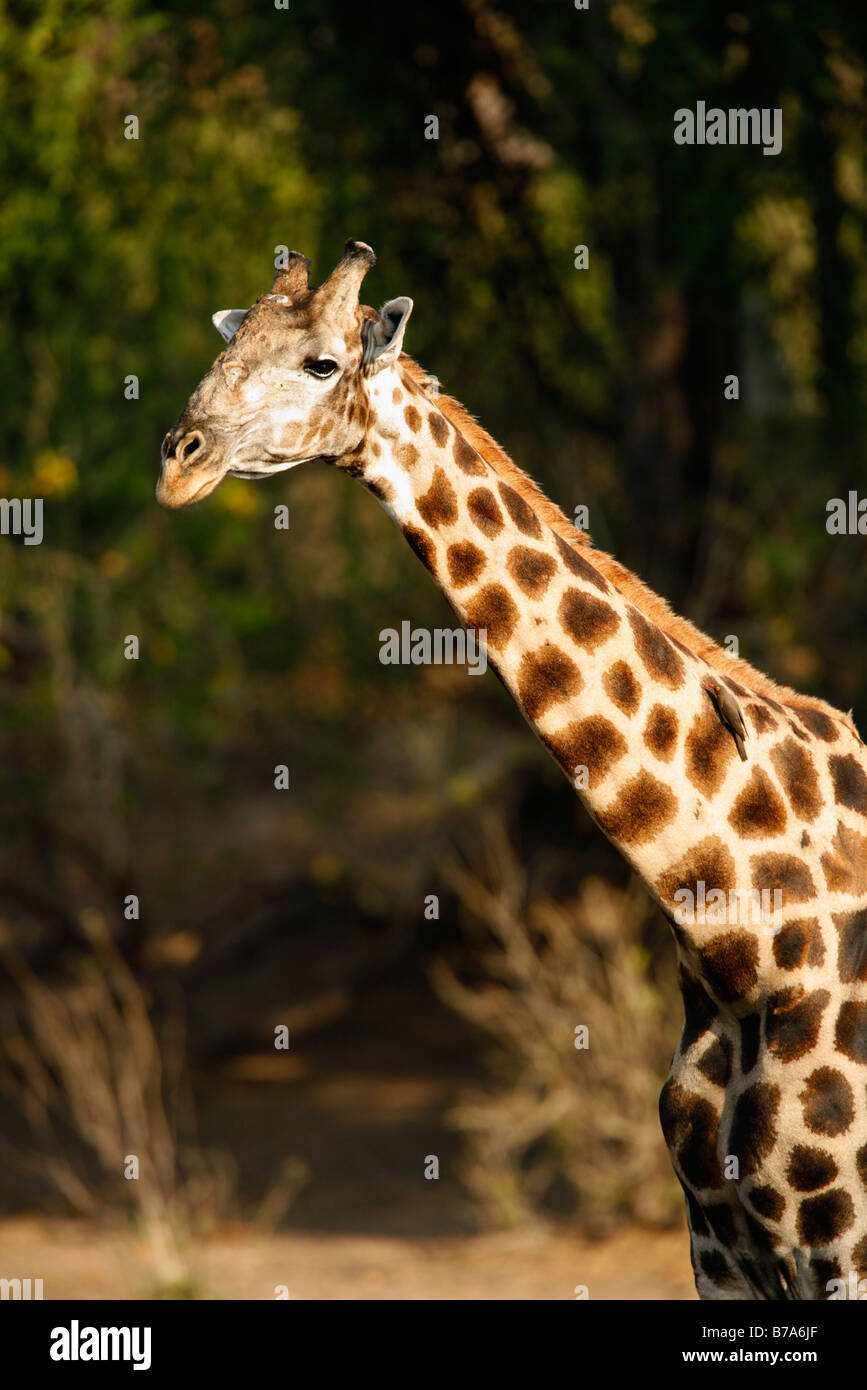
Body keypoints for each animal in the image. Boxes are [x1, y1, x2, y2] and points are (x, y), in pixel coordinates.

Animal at [157, 241, 867, 1301]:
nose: (180, 461)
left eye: (323, 363)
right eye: (228, 343)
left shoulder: (840, 1247)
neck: (733, 930)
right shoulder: (721, 1251)